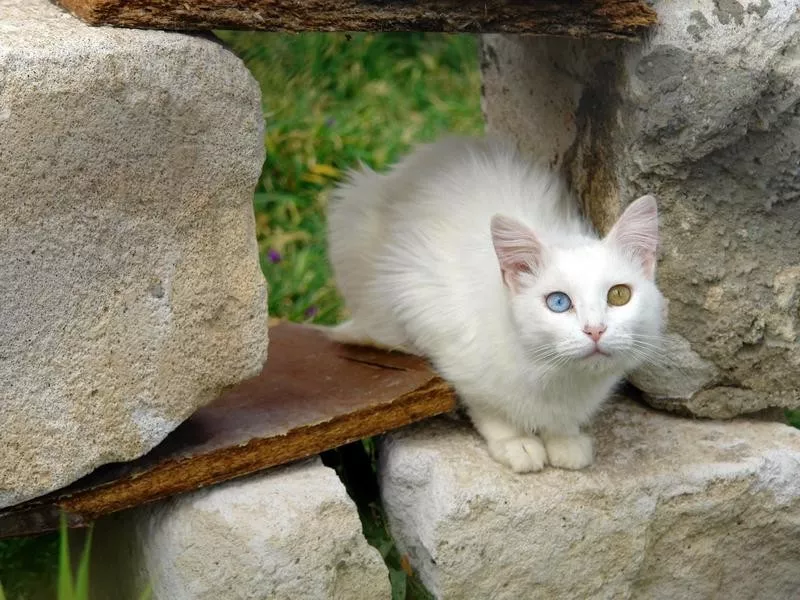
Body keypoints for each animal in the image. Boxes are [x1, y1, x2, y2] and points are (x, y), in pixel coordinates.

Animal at [324, 137, 664, 474]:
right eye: (558, 302)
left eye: (618, 295)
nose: (595, 330)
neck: (557, 374)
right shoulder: (435, 322)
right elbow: (489, 408)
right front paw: (518, 444)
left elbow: (561, 422)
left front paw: (564, 439)